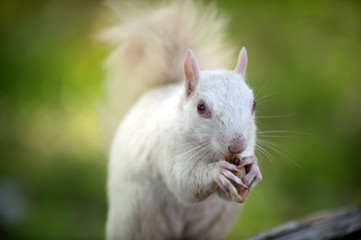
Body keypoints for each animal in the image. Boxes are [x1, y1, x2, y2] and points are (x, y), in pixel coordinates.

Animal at [101, 0, 262, 239]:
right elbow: (184, 182)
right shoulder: (167, 149)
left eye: (253, 105)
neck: (210, 152)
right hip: (136, 221)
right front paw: (218, 172)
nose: (237, 145)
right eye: (201, 108)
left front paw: (254, 168)